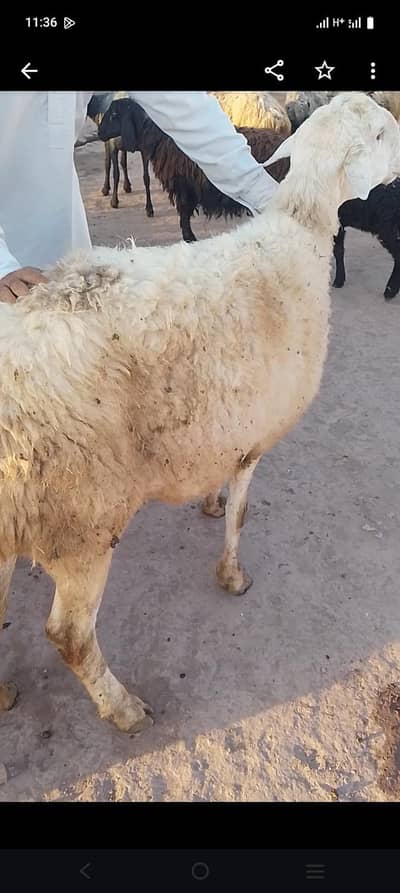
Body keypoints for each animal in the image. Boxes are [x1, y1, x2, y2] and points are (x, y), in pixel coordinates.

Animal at [98, 98, 290, 242]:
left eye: (114, 114)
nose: (99, 133)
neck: (162, 137)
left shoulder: (184, 187)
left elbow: (184, 216)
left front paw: (190, 239)